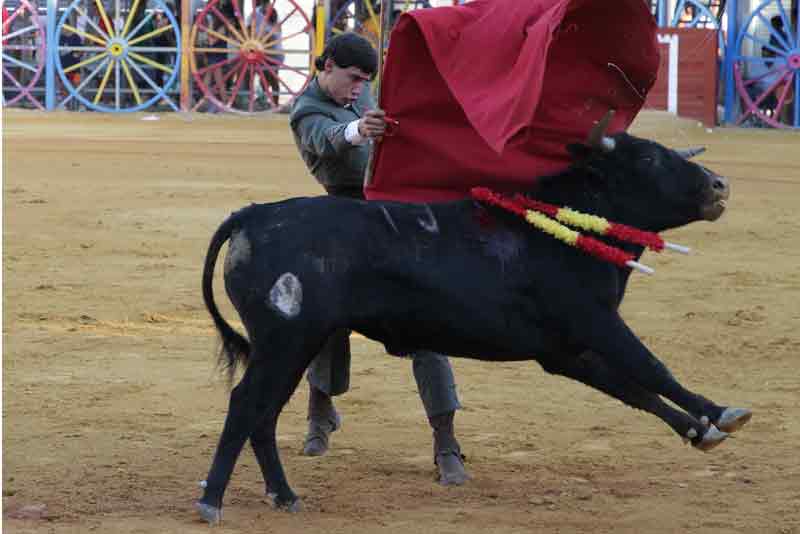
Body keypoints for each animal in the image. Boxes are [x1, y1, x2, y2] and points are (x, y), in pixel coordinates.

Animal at [194, 132, 752, 520]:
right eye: (650, 159)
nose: (720, 183)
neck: (560, 230)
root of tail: (253, 216)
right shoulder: (597, 323)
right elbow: (652, 368)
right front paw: (723, 414)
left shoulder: (565, 352)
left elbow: (634, 388)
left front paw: (701, 430)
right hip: (286, 341)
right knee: (246, 405)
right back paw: (213, 501)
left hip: (294, 346)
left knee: (264, 415)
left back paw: (284, 495)